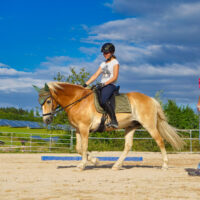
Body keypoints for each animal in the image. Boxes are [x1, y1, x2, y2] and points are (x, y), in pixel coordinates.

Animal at [34, 81, 184, 170]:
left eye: (48, 101)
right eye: (40, 102)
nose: (46, 120)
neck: (77, 100)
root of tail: (151, 99)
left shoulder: (84, 128)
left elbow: (84, 147)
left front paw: (83, 165)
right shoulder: (77, 129)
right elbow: (78, 148)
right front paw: (95, 161)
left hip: (149, 126)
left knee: (160, 141)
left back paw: (164, 165)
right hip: (130, 127)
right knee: (128, 146)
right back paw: (117, 165)